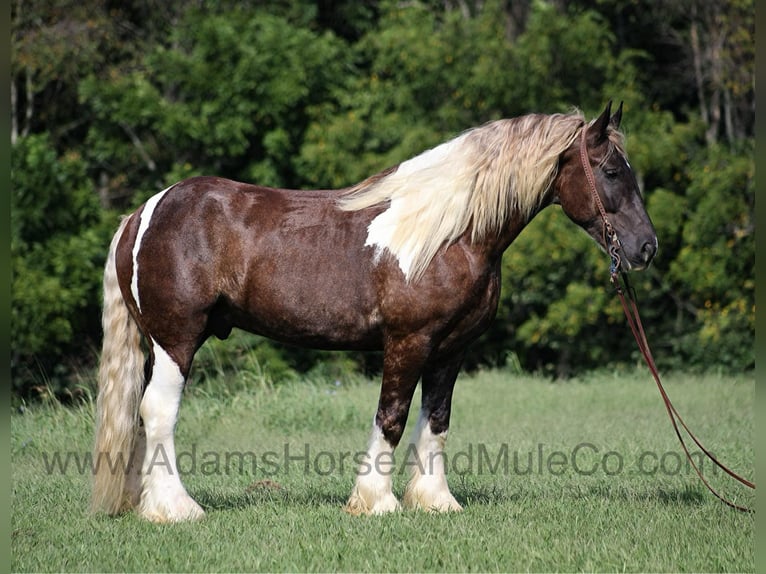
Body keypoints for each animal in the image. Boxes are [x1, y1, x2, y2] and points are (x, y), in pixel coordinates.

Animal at [91, 101, 660, 524]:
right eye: (612, 171)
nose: (646, 248)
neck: (449, 234)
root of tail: (144, 212)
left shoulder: (450, 349)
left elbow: (436, 420)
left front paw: (435, 501)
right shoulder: (408, 341)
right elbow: (392, 416)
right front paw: (376, 502)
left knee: (141, 414)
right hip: (176, 341)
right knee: (158, 411)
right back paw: (176, 508)